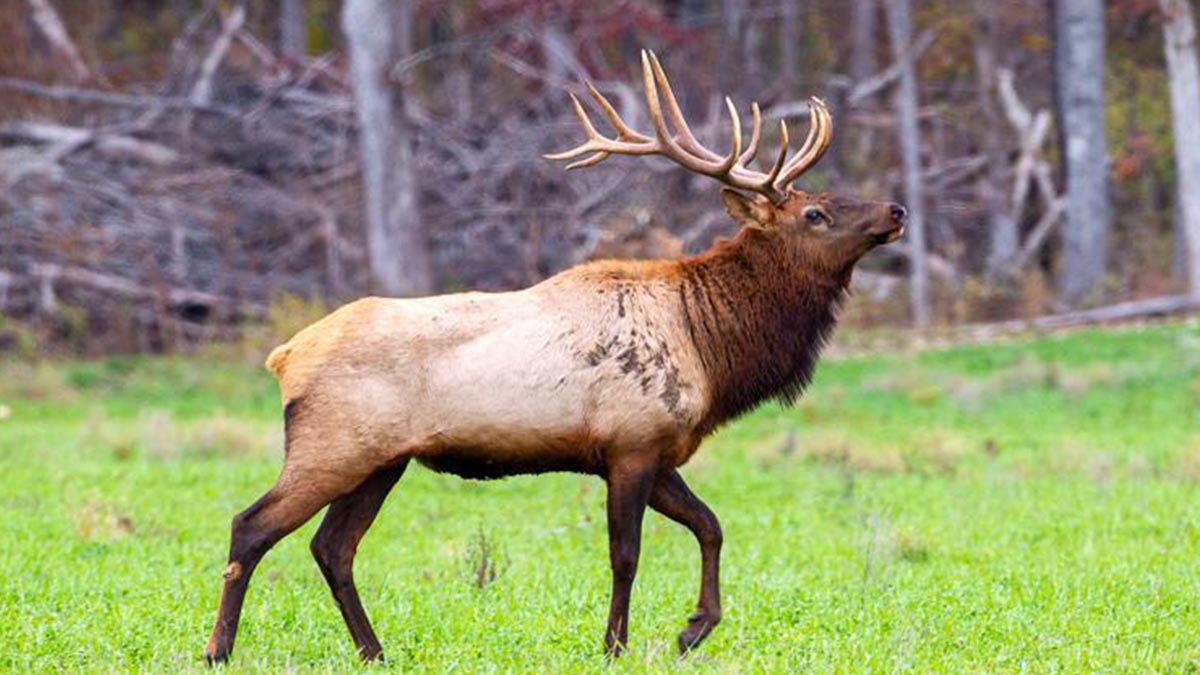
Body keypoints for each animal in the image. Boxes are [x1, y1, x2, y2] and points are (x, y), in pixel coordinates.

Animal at [203, 50, 907, 664]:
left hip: (381, 461)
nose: (896, 210)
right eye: (815, 213)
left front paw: (692, 628)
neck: (710, 348)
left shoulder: (654, 450)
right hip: (333, 446)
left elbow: (711, 525)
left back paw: (374, 651)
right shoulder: (630, 444)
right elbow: (627, 554)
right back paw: (219, 649)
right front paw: (616, 644)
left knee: (333, 547)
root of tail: (284, 357)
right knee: (251, 525)